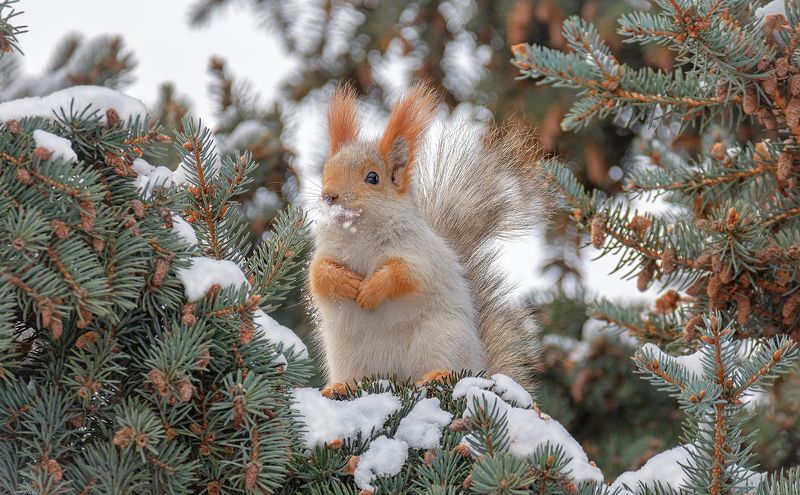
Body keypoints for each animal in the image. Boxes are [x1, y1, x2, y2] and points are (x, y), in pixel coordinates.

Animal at [308, 83, 546, 392]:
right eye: (326, 170)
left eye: (372, 177)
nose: (329, 196)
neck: (359, 231)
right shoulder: (325, 250)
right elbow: (317, 277)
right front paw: (344, 281)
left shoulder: (421, 253)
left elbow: (406, 274)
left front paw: (372, 288)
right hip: (347, 356)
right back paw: (339, 388)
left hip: (440, 338)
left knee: (448, 368)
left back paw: (439, 375)